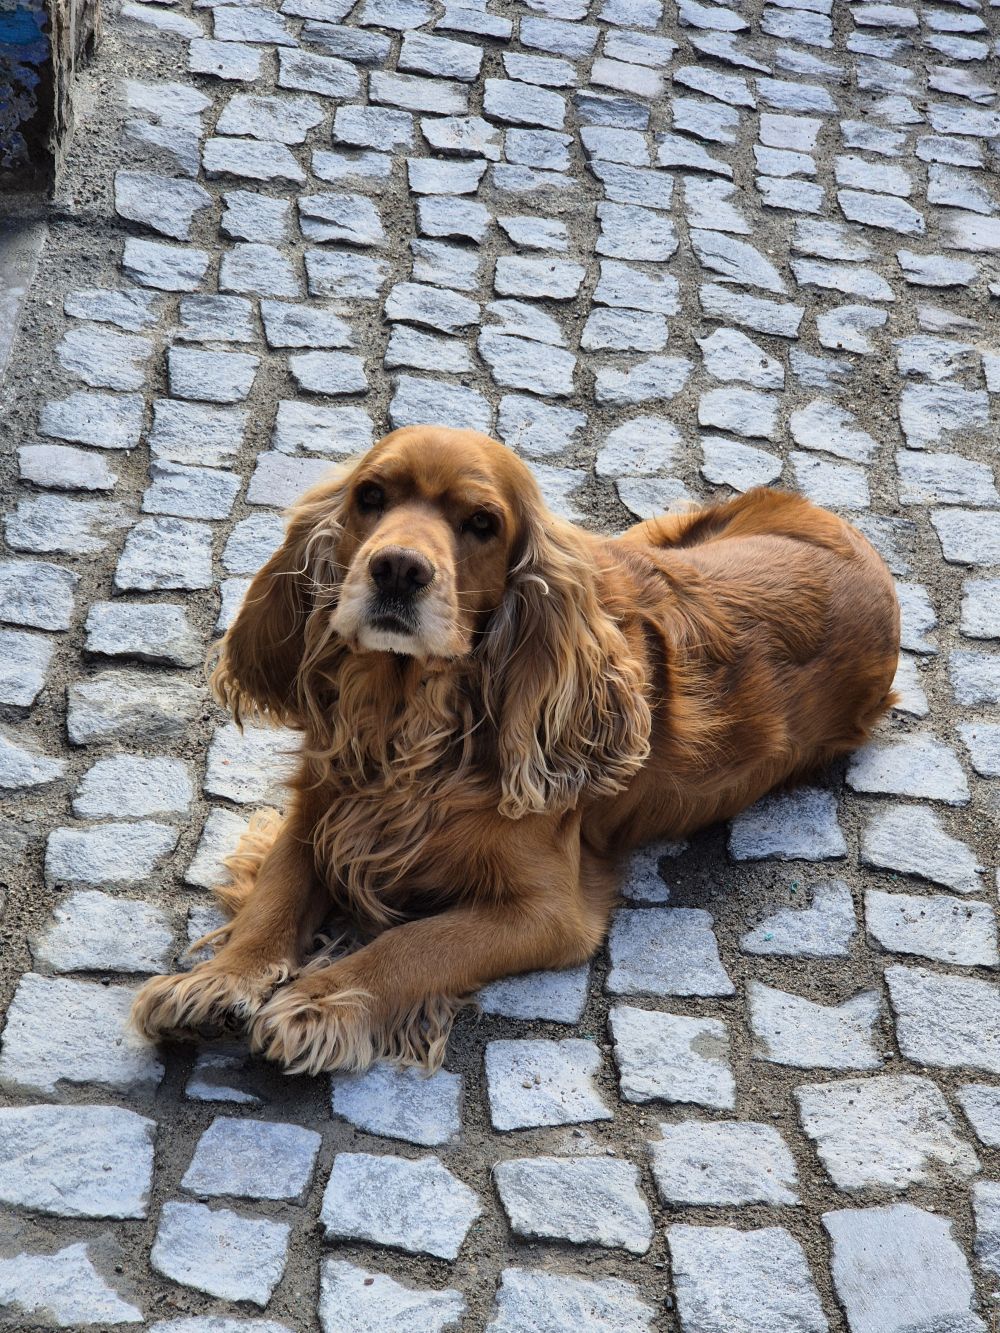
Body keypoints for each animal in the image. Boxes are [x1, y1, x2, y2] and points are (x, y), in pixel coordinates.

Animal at [131, 425, 900, 1075]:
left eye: (482, 523)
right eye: (370, 496)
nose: (397, 569)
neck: (409, 722)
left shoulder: (549, 912)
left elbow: (416, 943)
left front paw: (322, 1003)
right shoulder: (321, 808)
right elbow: (276, 897)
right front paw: (217, 981)